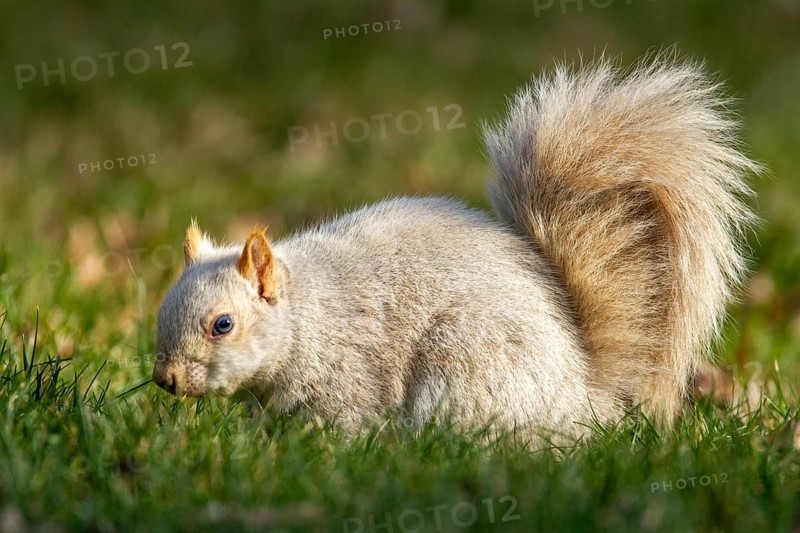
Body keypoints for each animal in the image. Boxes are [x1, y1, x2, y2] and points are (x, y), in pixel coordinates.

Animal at [153, 56, 759, 439]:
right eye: (160, 311)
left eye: (223, 325)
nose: (166, 381)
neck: (309, 316)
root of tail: (583, 396)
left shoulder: (349, 375)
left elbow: (342, 422)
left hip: (467, 365)